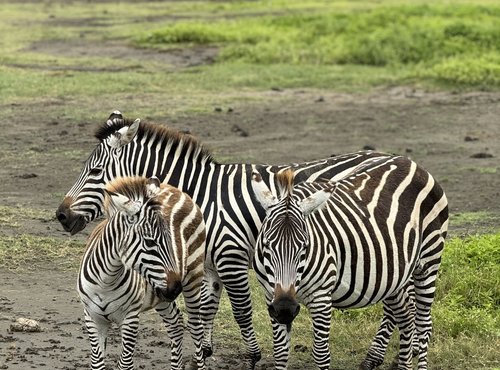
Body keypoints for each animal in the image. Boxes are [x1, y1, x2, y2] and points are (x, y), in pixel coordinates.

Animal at [77, 176, 206, 370]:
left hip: (193, 277)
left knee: (196, 327)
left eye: (171, 239)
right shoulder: (92, 317)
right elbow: (97, 363)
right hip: (161, 296)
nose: (176, 289)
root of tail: (174, 189)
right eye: (150, 242)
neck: (105, 282)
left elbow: (125, 364)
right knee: (175, 323)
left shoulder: (131, 317)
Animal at [252, 157, 448, 370]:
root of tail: (410, 162)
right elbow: (280, 352)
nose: (285, 309)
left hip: (428, 262)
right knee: (406, 316)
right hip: (394, 275)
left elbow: (321, 353)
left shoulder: (321, 296)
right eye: (266, 245)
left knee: (423, 324)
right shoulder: (271, 295)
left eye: (305, 246)